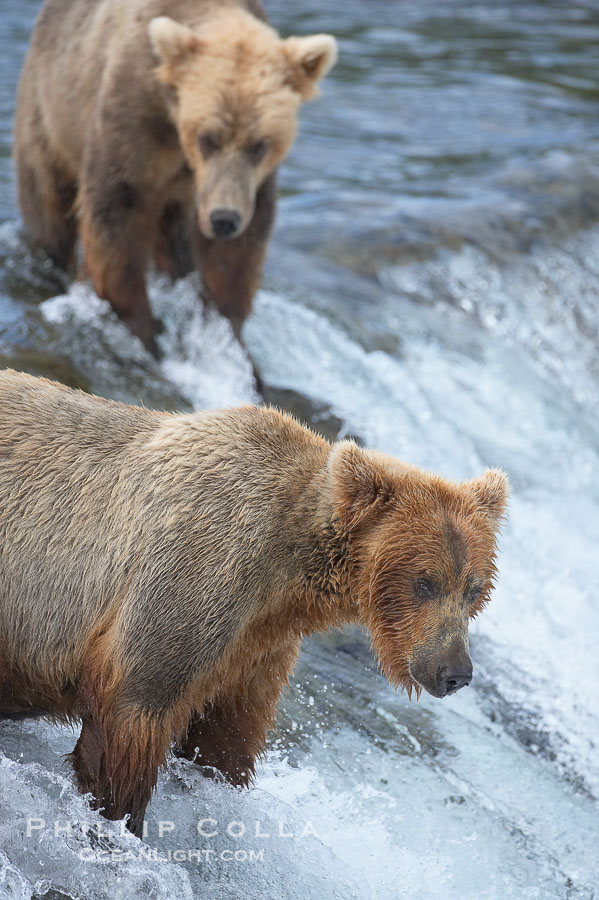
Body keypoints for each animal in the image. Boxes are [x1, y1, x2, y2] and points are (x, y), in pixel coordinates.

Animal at [0, 369, 508, 837]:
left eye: (474, 588)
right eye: (425, 581)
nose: (455, 671)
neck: (289, 570)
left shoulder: (257, 645)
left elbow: (226, 737)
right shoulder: (197, 569)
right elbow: (132, 708)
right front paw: (119, 821)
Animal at [13, 0, 337, 356]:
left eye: (259, 145)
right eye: (208, 138)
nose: (224, 219)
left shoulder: (247, 184)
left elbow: (238, 252)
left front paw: (227, 325)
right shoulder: (133, 121)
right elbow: (115, 215)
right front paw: (143, 328)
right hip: (49, 115)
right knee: (48, 206)